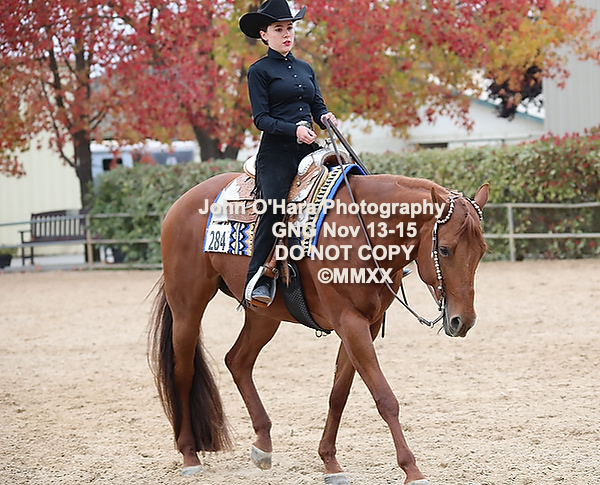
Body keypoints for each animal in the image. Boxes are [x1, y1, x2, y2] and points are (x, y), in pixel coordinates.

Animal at [147, 166, 489, 485]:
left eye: (481, 251)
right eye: (444, 249)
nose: (463, 321)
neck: (362, 231)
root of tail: (181, 203)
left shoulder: (365, 325)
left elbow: (339, 394)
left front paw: (330, 462)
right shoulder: (349, 322)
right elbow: (385, 398)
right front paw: (412, 470)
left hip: (263, 315)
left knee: (238, 361)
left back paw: (263, 445)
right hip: (187, 308)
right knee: (183, 372)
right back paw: (189, 455)